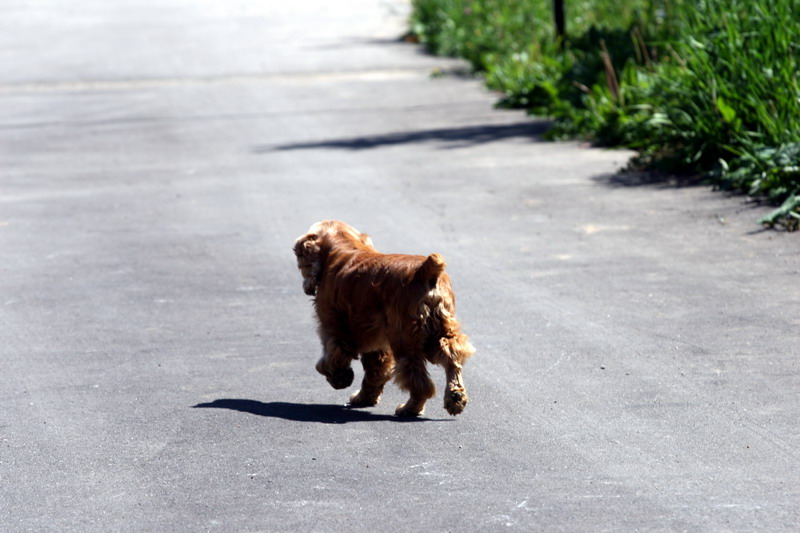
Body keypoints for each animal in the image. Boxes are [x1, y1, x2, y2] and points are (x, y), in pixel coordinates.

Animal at [292, 219, 476, 416]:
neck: (342, 246)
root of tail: (425, 271)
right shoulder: (376, 341)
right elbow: (376, 371)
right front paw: (364, 397)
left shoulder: (333, 328)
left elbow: (332, 357)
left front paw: (339, 377)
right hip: (440, 331)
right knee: (452, 359)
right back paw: (455, 398)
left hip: (406, 339)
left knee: (419, 381)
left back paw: (409, 408)